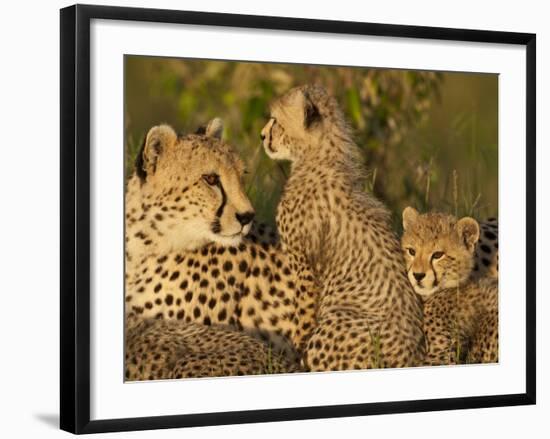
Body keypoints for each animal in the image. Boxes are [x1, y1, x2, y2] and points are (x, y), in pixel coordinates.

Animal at [262, 85, 426, 372]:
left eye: (275, 121)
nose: (262, 136)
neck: (319, 156)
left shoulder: (304, 265)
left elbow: (302, 316)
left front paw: (293, 353)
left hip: (336, 319)